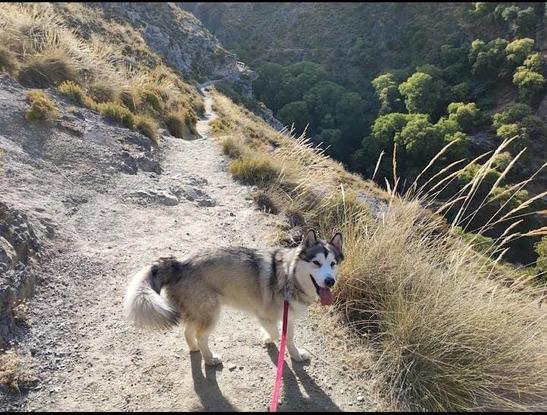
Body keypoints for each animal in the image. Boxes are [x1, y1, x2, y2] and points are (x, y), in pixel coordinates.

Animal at [126, 228, 344, 368]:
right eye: (316, 263)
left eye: (333, 263)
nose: (330, 281)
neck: (289, 275)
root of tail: (180, 263)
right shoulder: (265, 316)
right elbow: (275, 334)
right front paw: (266, 338)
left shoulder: (288, 316)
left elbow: (288, 338)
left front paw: (296, 355)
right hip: (211, 313)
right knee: (200, 335)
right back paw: (209, 359)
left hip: (199, 312)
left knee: (188, 331)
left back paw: (194, 349)